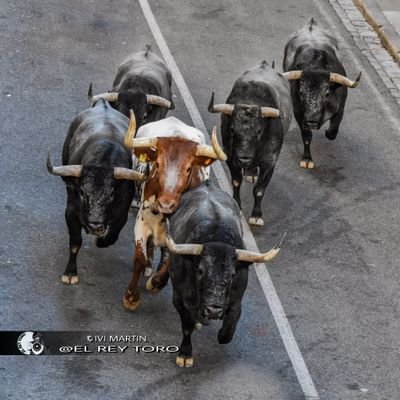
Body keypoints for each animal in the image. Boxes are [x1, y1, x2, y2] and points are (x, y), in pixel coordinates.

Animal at [47, 101, 145, 286]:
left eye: (112, 193)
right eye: (82, 192)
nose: (95, 225)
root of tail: (103, 104)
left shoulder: (122, 214)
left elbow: (112, 236)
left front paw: (100, 240)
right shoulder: (71, 210)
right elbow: (75, 241)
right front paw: (70, 272)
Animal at [164, 183, 282, 368]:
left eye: (232, 275)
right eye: (200, 270)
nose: (213, 310)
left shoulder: (236, 298)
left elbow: (231, 322)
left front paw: (222, 335)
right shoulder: (179, 297)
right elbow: (187, 325)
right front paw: (185, 354)